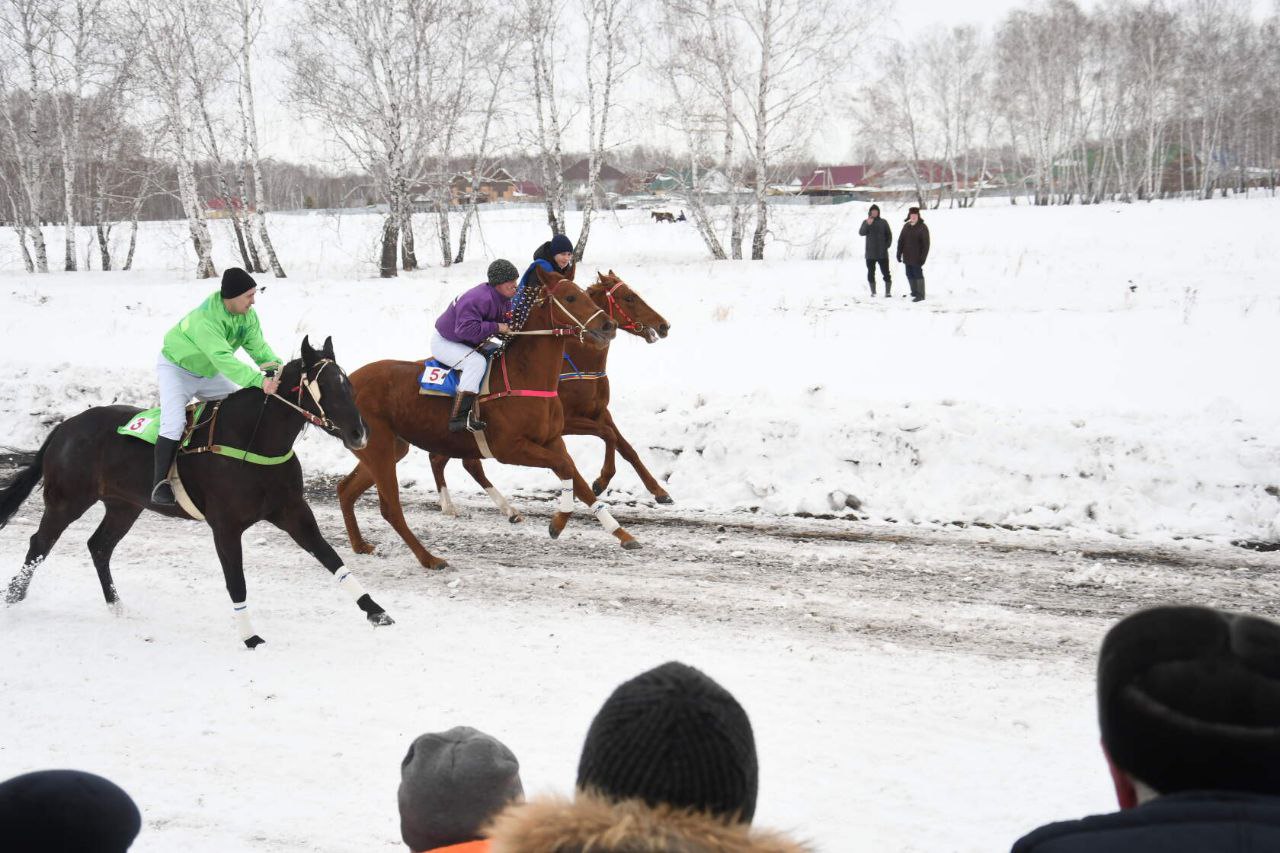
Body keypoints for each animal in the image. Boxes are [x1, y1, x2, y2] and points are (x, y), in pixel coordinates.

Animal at [0, 335, 391, 648]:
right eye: (327, 387)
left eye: (349, 386)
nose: (360, 433)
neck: (252, 440)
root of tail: (65, 426)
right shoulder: (226, 526)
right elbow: (237, 581)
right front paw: (250, 637)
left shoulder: (292, 511)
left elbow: (330, 557)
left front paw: (375, 611)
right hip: (67, 500)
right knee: (40, 544)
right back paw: (14, 596)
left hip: (124, 505)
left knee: (99, 546)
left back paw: (118, 606)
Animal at [337, 262, 640, 563]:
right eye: (570, 297)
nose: (608, 325)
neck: (524, 376)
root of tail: (347, 380)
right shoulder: (509, 448)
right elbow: (565, 468)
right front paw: (559, 520)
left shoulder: (553, 440)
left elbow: (579, 480)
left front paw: (622, 534)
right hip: (379, 448)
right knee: (391, 507)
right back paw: (430, 559)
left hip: (388, 449)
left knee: (345, 490)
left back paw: (360, 544)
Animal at [427, 268, 675, 517]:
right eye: (629, 297)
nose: (664, 325)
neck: (578, 363)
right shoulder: (567, 422)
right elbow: (607, 435)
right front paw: (600, 482)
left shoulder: (600, 412)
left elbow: (625, 447)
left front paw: (659, 491)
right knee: (441, 457)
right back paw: (449, 504)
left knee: (453, 459)